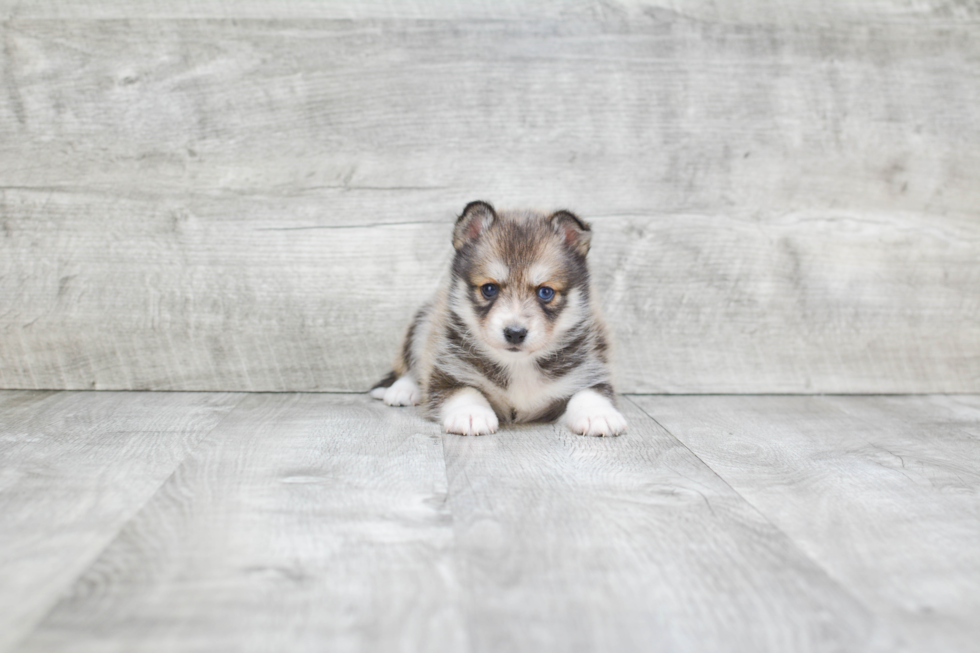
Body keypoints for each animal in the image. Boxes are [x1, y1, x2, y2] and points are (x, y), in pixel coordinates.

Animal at [368, 201, 628, 436]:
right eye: (489, 289)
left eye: (545, 292)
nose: (515, 333)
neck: (518, 365)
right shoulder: (446, 372)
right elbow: (464, 391)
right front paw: (471, 414)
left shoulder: (590, 368)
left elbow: (589, 392)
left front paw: (597, 415)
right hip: (423, 323)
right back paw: (402, 390)